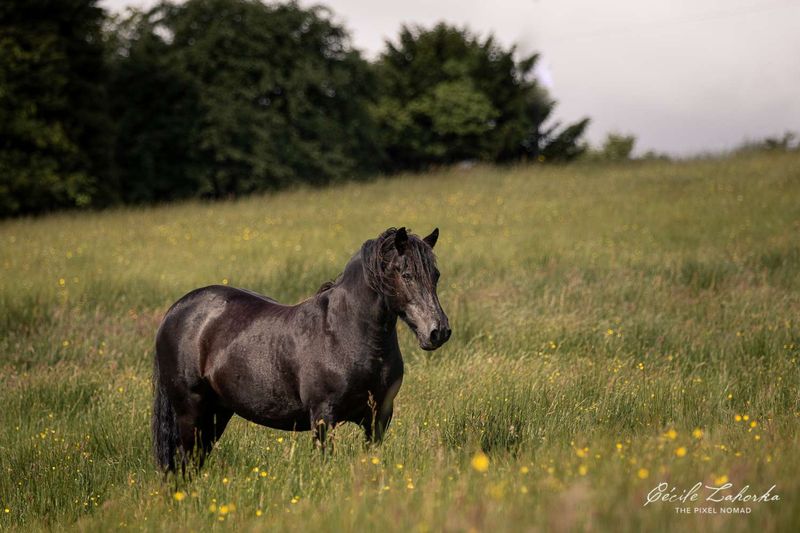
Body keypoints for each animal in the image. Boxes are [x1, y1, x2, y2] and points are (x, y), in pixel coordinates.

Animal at [152, 227, 450, 472]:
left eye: (436, 275)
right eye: (407, 274)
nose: (438, 331)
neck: (344, 334)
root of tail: (177, 310)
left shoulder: (378, 417)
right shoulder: (323, 417)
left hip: (217, 413)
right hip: (190, 411)